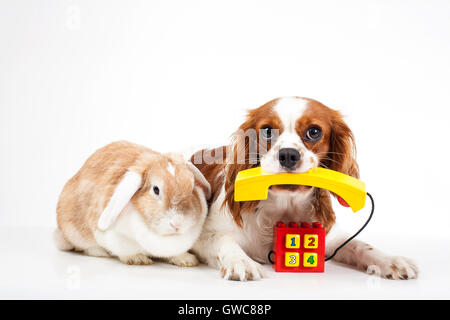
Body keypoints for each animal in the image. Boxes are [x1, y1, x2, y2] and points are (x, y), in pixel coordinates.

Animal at [54, 141, 211, 266]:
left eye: (192, 187)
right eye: (156, 189)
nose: (178, 223)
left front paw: (187, 260)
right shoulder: (116, 239)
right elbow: (125, 252)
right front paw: (138, 259)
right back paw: (100, 252)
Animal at [190, 95, 418, 280]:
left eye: (314, 132)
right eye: (267, 131)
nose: (288, 154)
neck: (284, 207)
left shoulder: (332, 238)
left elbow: (360, 245)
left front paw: (391, 260)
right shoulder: (204, 235)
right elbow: (224, 241)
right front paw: (242, 262)